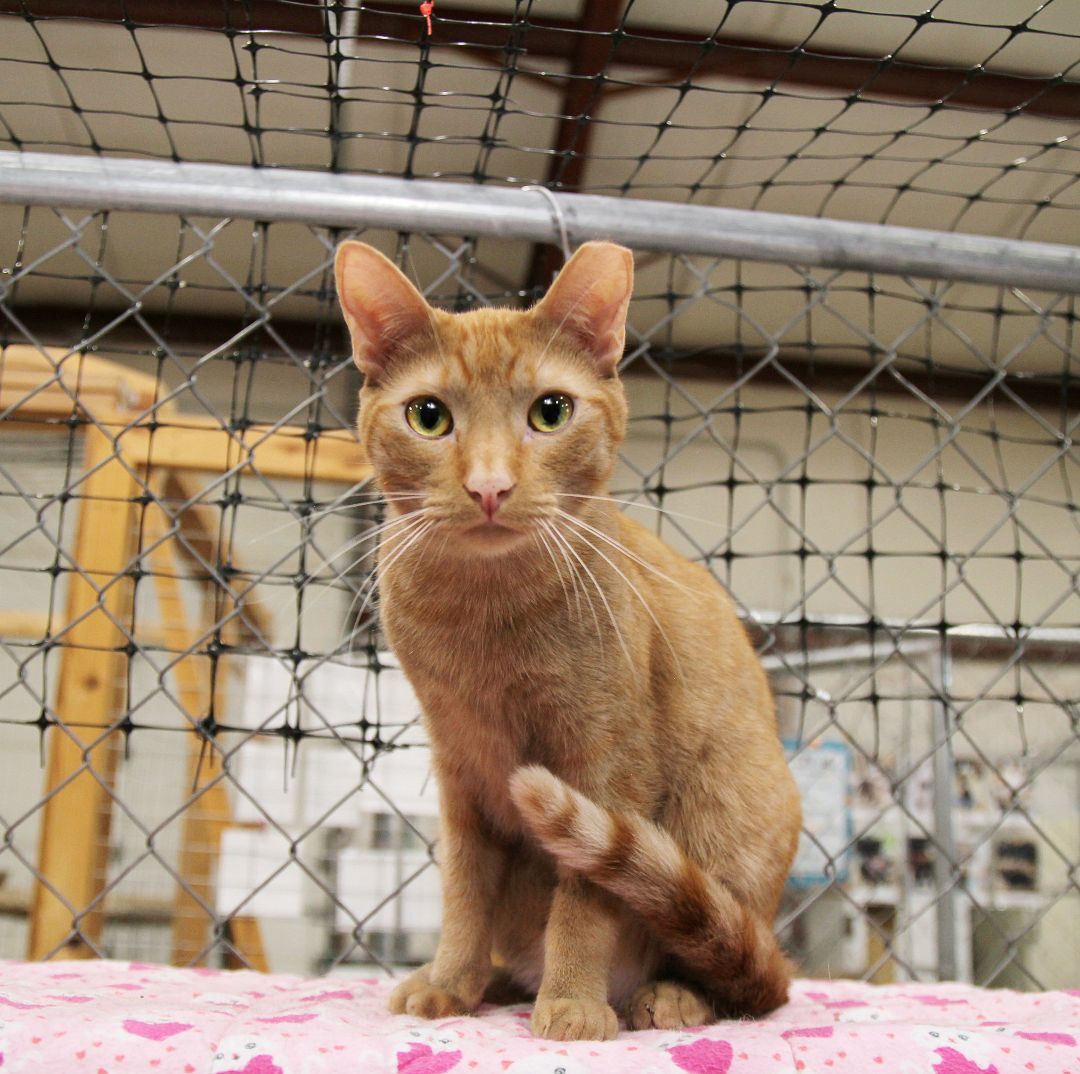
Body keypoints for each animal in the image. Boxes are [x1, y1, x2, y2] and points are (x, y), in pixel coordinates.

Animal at [334, 240, 803, 1037]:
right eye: (429, 417)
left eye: (549, 412)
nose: (489, 486)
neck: (484, 618)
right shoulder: (460, 773)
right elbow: (464, 895)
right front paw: (450, 981)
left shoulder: (607, 762)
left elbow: (585, 900)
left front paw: (574, 1002)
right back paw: (497, 981)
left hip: (731, 812)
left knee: (741, 972)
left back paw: (668, 995)